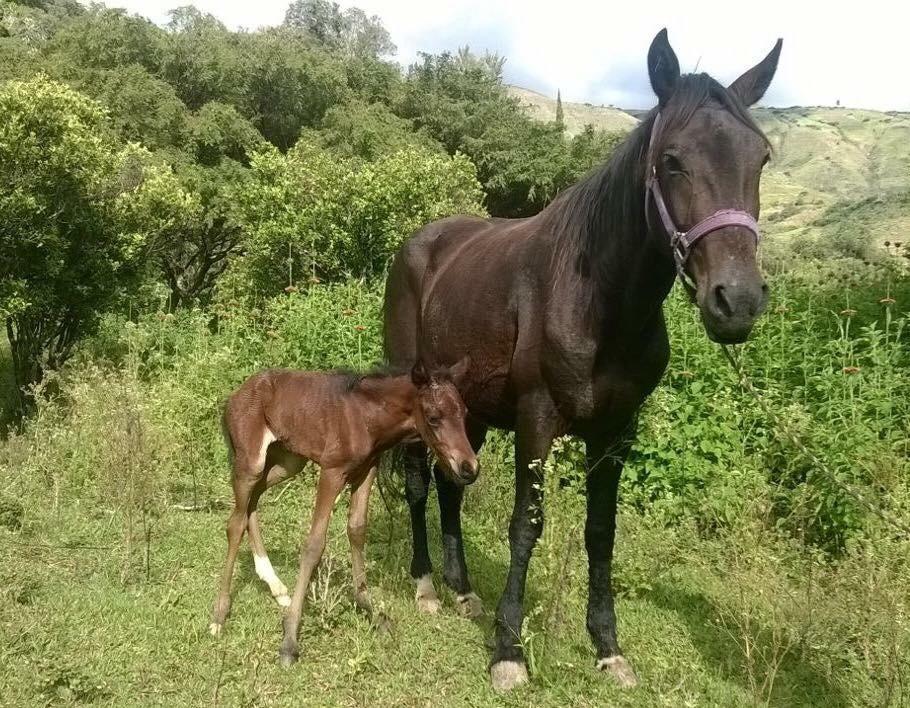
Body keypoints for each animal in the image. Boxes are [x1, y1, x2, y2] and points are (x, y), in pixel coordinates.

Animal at [209, 362, 474, 668]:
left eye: (464, 413)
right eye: (433, 417)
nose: (469, 467)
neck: (367, 417)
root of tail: (235, 396)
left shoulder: (367, 470)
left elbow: (357, 529)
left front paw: (371, 611)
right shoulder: (332, 471)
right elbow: (314, 545)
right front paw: (289, 640)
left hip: (288, 461)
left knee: (252, 502)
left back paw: (276, 587)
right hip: (250, 462)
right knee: (235, 522)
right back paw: (219, 614)